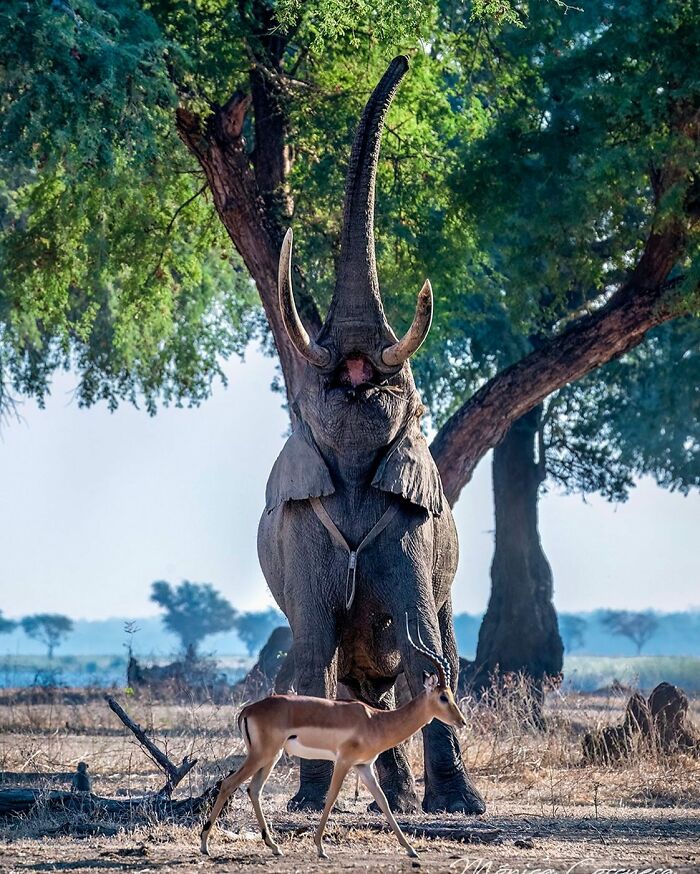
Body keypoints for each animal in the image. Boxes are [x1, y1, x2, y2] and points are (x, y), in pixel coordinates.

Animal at [200, 615, 467, 860]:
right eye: (443, 697)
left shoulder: (363, 766)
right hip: (261, 755)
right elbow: (331, 797)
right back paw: (204, 844)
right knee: (228, 783)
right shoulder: (344, 761)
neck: (375, 721)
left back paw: (274, 847)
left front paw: (411, 850)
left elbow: (383, 802)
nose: (461, 722)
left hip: (271, 756)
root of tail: (248, 710)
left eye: (451, 694)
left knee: (253, 789)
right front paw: (320, 848)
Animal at [257, 55, 485, 816]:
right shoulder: (302, 524)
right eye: (320, 383)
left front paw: (460, 808)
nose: (405, 60)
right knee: (349, 673)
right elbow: (308, 648)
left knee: (432, 648)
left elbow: (425, 651)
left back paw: (426, 802)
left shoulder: (413, 524)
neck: (357, 473)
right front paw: (303, 804)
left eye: (400, 386)